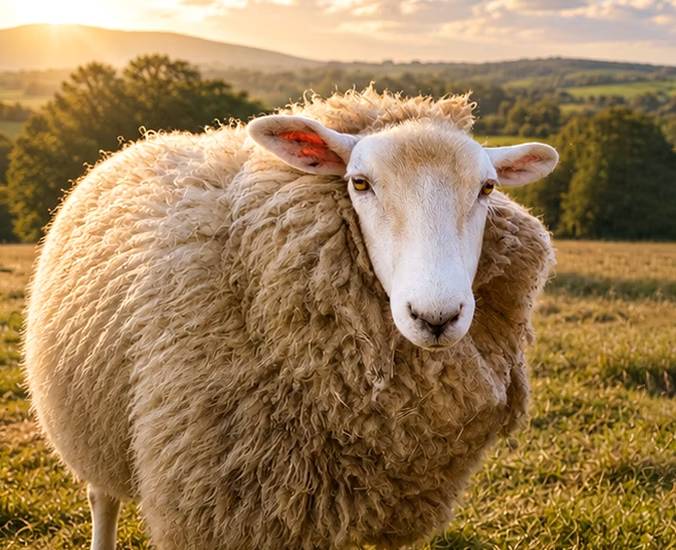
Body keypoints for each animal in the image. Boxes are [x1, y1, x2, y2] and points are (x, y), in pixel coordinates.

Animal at [24, 87, 557, 550]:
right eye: (359, 183)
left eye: (487, 187)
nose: (436, 316)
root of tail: (140, 142)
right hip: (88, 424)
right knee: (102, 499)